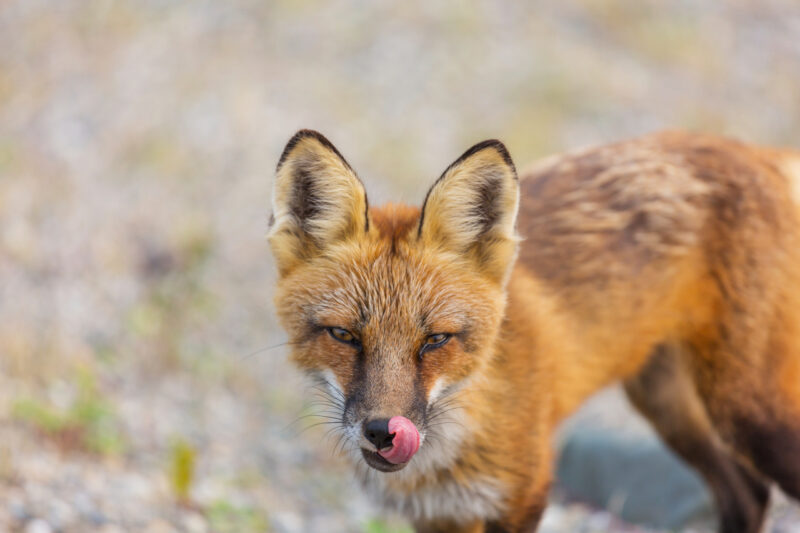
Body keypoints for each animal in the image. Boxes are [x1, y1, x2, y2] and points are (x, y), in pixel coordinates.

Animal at [268, 130, 800, 532]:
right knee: (749, 494)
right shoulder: (440, 515)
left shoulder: (523, 494)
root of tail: (754, 151)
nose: (384, 431)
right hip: (668, 406)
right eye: (345, 336)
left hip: (747, 413)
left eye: (436, 340)